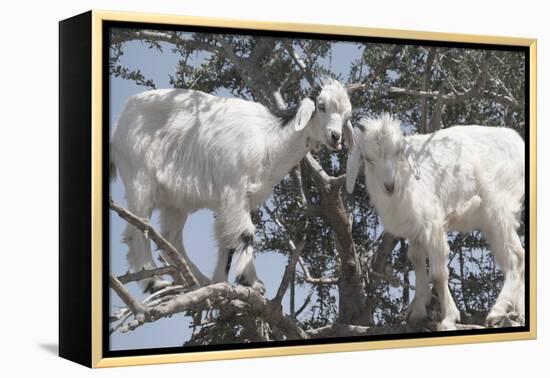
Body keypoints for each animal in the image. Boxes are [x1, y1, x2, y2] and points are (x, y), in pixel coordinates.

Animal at [111, 78, 354, 294]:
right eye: (321, 105)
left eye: (347, 115)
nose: (336, 137)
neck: (269, 141)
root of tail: (119, 124)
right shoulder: (234, 190)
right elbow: (245, 234)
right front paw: (252, 282)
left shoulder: (234, 202)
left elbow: (227, 238)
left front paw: (221, 281)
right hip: (139, 177)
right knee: (137, 229)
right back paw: (155, 283)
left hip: (176, 202)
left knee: (171, 238)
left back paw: (199, 281)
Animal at [350, 113, 528, 330]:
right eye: (368, 158)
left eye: (398, 151)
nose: (389, 186)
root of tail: (518, 144)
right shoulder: (415, 229)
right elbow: (417, 260)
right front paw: (417, 311)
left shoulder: (433, 223)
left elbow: (438, 274)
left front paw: (448, 319)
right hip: (493, 221)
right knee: (514, 256)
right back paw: (517, 313)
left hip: (499, 208)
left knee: (515, 258)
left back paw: (497, 311)